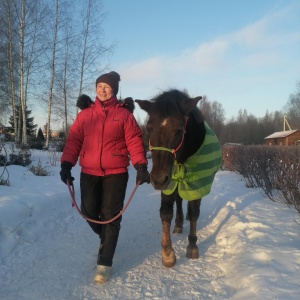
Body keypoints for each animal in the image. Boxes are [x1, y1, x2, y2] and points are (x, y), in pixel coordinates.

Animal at [135, 89, 221, 268]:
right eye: (149, 128)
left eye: (179, 130)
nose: (158, 179)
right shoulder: (169, 183)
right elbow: (166, 213)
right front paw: (167, 253)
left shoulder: (197, 182)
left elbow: (194, 212)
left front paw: (192, 245)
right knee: (179, 201)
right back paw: (179, 223)